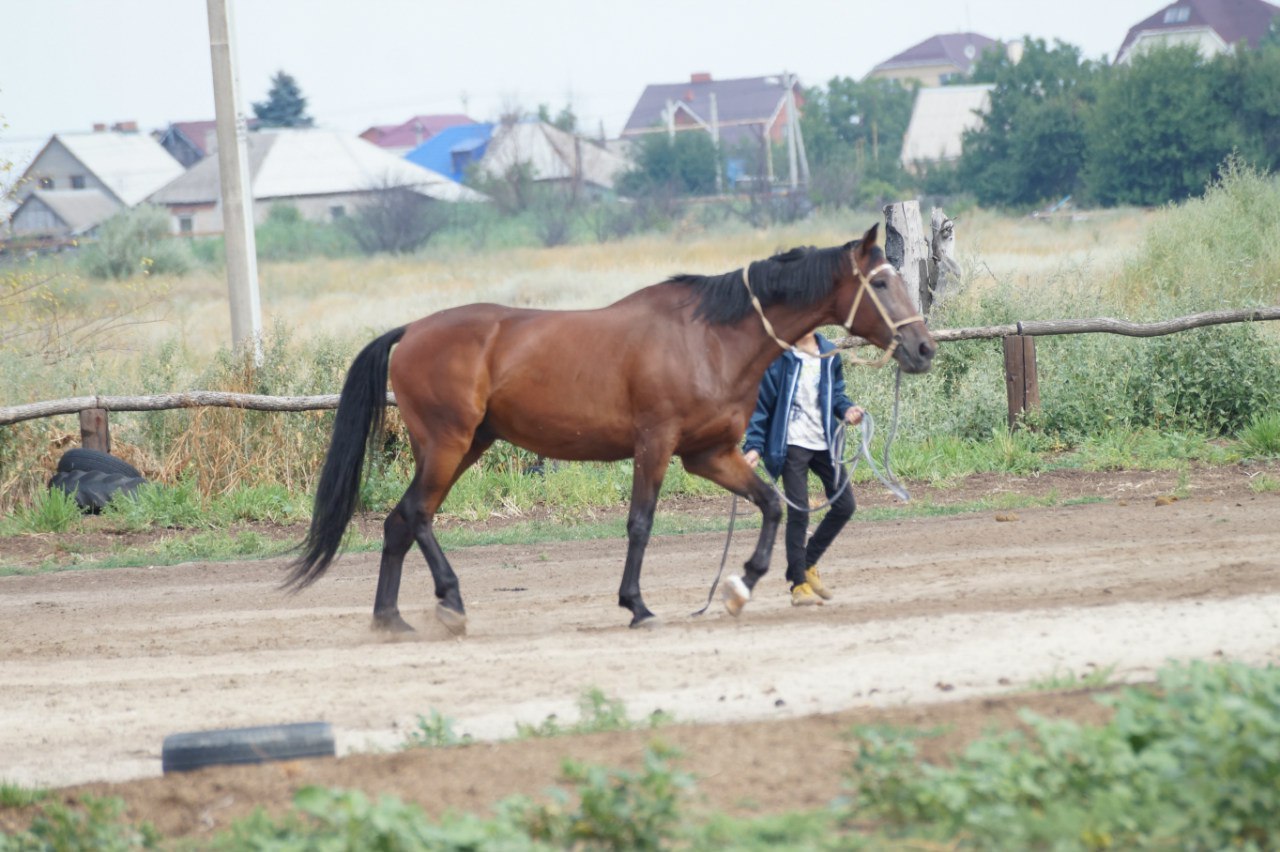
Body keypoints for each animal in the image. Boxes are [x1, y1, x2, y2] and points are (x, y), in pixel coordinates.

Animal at [285, 225, 936, 629]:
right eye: (881, 282)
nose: (924, 348)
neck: (710, 337)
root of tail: (412, 330)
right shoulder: (655, 445)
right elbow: (640, 525)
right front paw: (637, 604)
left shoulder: (709, 454)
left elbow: (773, 503)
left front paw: (742, 584)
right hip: (447, 445)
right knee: (417, 515)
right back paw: (449, 600)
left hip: (466, 446)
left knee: (399, 521)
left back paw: (391, 618)